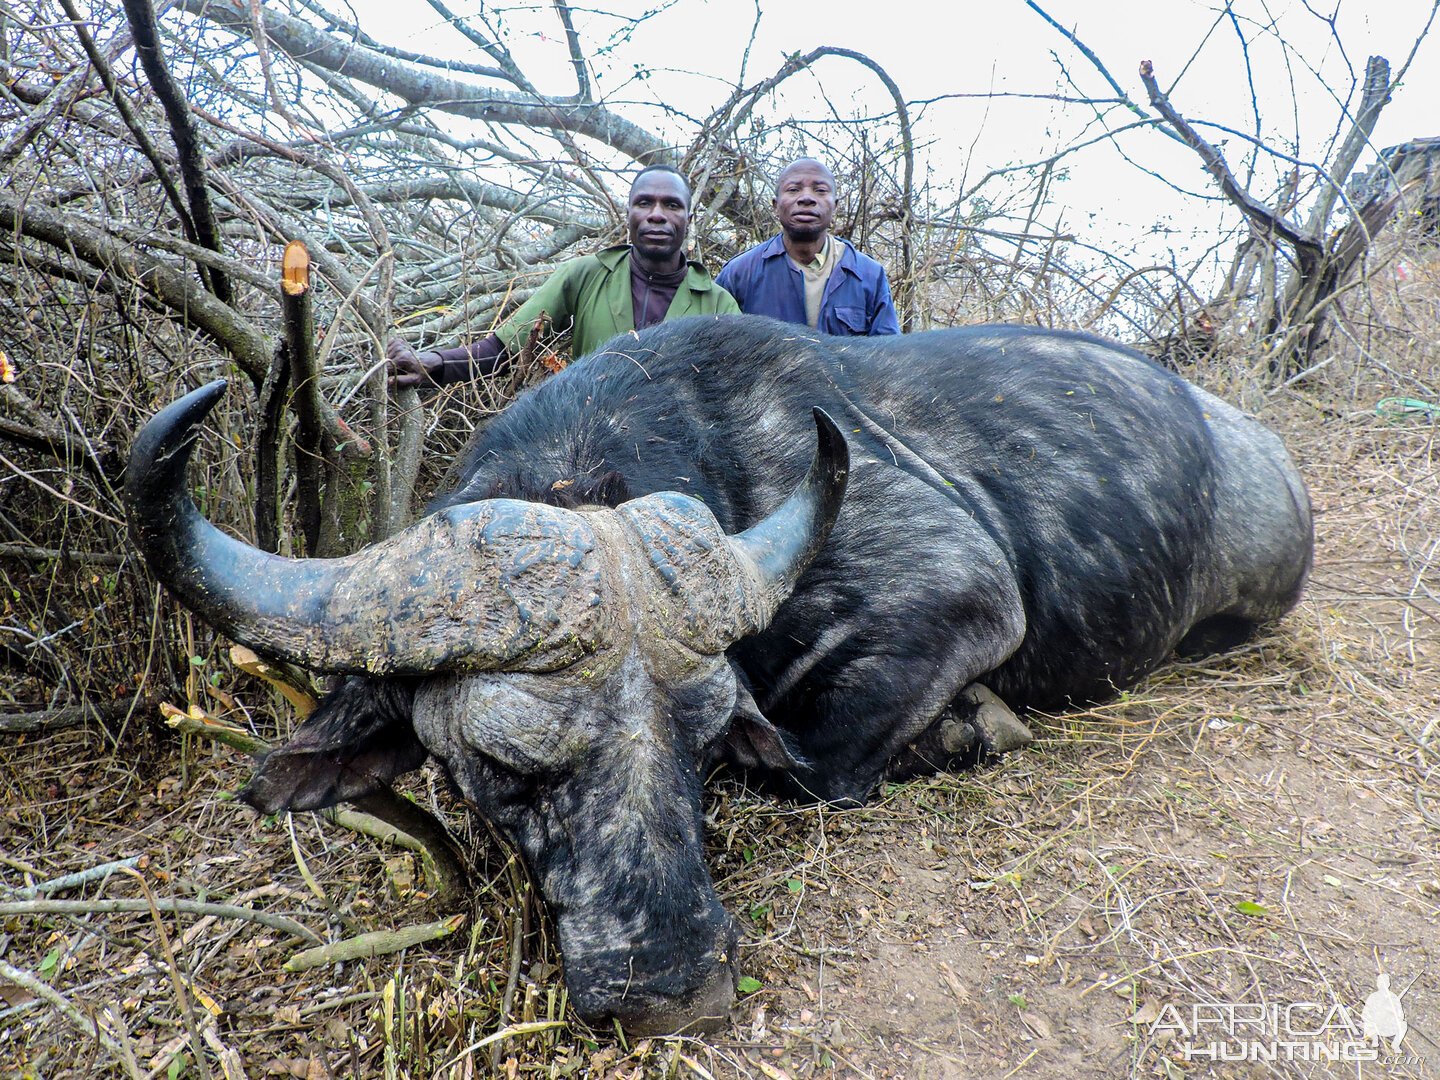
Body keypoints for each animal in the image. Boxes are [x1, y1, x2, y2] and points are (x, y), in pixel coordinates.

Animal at [126, 311, 1319, 1031]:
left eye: (702, 745)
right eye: (501, 768)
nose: (671, 990)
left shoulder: (965, 593)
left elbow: (810, 766)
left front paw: (971, 725)